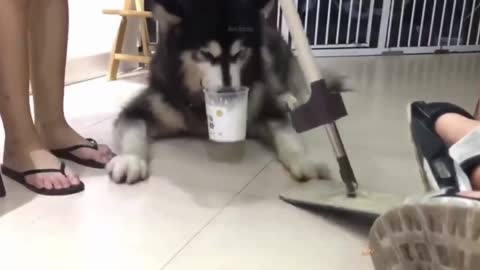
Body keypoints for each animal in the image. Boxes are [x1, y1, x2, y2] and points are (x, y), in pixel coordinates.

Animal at [107, 0, 346, 184]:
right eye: (206, 54)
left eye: (239, 53)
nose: (228, 93)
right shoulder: (144, 107)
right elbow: (133, 129)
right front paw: (130, 160)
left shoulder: (262, 109)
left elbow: (287, 134)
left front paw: (304, 160)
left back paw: (288, 97)